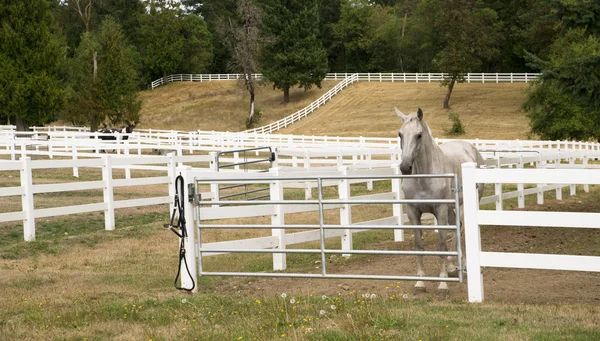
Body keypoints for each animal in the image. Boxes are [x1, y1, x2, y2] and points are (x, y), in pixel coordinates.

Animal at [396, 107, 486, 294]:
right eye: (400, 134)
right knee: (457, 226)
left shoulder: (440, 209)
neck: (425, 177)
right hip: (451, 208)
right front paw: (420, 283)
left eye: (419, 135)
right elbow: (419, 246)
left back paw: (459, 267)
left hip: (462, 205)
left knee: (461, 228)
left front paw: (442, 284)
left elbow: (441, 245)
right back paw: (453, 266)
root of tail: (471, 149)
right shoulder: (413, 211)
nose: (405, 167)